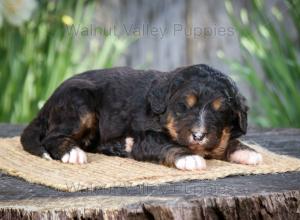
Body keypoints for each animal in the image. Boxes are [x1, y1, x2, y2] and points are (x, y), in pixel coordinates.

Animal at [20, 64, 262, 170]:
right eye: (184, 106)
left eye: (220, 110)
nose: (199, 136)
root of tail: (48, 101)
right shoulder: (147, 137)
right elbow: (167, 144)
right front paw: (189, 157)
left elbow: (228, 141)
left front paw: (248, 152)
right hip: (79, 104)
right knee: (53, 137)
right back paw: (73, 153)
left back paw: (121, 146)